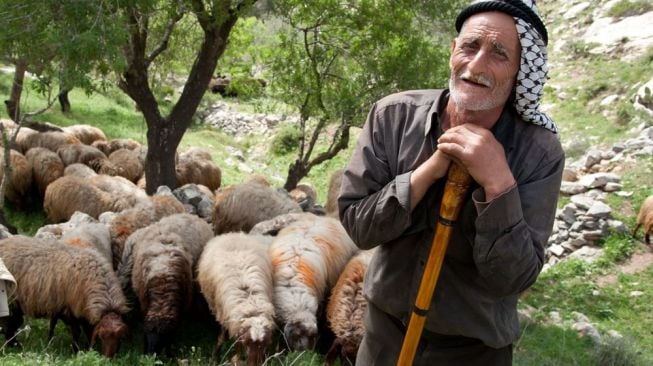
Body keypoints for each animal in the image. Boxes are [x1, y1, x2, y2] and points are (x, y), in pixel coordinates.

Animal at [0, 234, 130, 358]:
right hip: (11, 302)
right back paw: (14, 345)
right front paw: (76, 351)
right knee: (10, 324)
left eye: (119, 338)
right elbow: (77, 331)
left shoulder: (78, 310)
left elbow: (86, 330)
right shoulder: (71, 309)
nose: (108, 359)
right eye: (102, 337)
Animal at [196, 233, 272, 364]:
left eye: (264, 344)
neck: (249, 302)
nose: (253, 365)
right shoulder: (225, 315)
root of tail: (232, 234)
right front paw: (220, 358)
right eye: (247, 343)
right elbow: (226, 339)